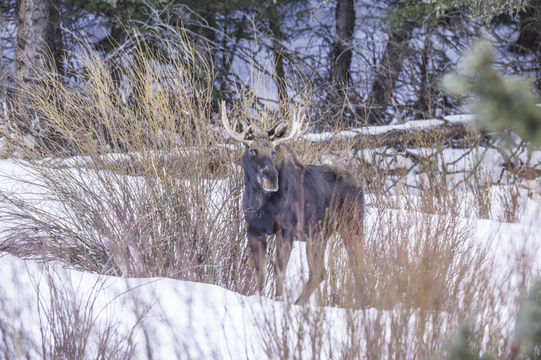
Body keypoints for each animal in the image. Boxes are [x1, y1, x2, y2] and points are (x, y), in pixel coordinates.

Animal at [221, 102, 364, 306]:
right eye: (252, 151)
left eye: (273, 152)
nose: (271, 179)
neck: (258, 201)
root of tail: (360, 185)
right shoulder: (253, 229)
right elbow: (260, 272)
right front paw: (260, 299)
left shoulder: (285, 231)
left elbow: (278, 270)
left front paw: (278, 300)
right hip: (319, 236)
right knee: (320, 272)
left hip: (352, 226)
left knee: (358, 265)